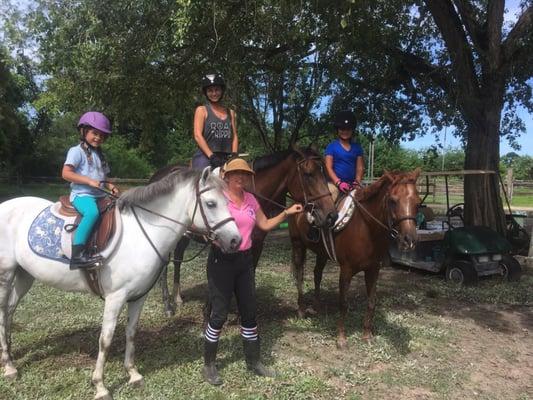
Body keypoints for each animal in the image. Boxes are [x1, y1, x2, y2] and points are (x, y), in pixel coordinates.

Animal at [0, 167, 239, 398]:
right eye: (211, 203)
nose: (235, 240)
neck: (142, 234)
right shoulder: (115, 297)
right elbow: (105, 340)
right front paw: (100, 386)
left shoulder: (138, 296)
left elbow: (131, 333)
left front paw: (133, 374)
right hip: (6, 274)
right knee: (3, 312)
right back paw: (10, 366)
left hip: (25, 275)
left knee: (10, 311)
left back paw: (9, 355)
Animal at [150, 147, 338, 316]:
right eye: (308, 174)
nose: (331, 215)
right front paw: (210, 309)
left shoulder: (256, 244)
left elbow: (250, 272)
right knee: (165, 264)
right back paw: (168, 305)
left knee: (178, 259)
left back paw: (177, 298)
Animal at [286, 170, 420, 348]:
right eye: (392, 201)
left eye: (418, 203)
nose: (408, 240)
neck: (366, 228)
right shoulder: (346, 270)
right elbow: (343, 304)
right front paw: (341, 339)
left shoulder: (373, 270)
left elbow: (371, 303)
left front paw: (367, 335)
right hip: (297, 245)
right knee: (300, 274)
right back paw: (301, 310)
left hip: (322, 253)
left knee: (317, 274)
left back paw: (316, 307)